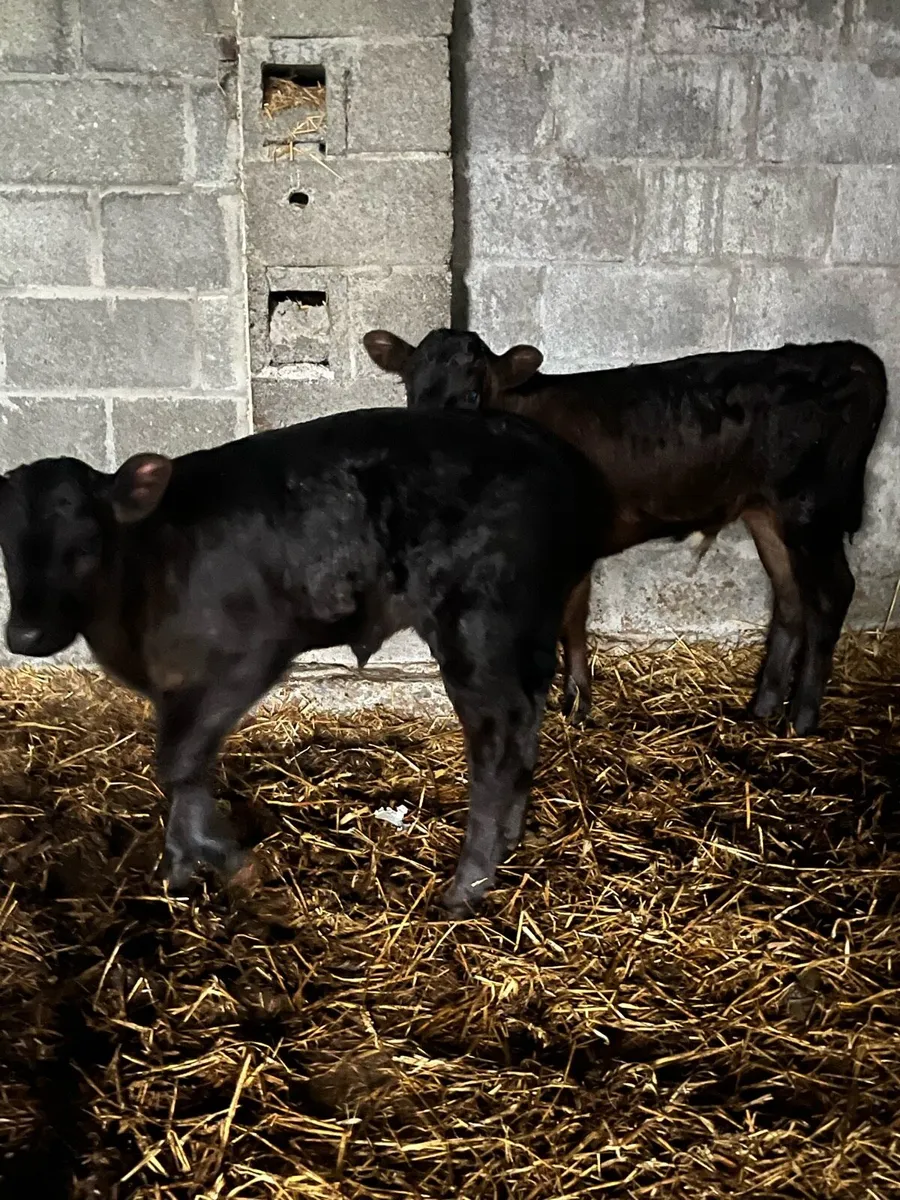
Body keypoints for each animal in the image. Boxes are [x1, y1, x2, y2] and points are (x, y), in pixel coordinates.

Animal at [0, 406, 611, 915]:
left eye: (84, 545)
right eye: (5, 545)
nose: (25, 634)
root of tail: (554, 454)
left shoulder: (243, 658)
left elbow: (177, 760)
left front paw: (221, 859)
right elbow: (183, 768)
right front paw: (181, 868)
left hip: (476, 629)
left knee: (496, 742)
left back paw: (467, 887)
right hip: (527, 631)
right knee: (528, 716)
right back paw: (507, 840)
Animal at [363, 328, 888, 735]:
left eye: (472, 396)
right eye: (412, 390)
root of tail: (849, 355)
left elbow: (570, 618)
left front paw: (576, 701)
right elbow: (572, 620)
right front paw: (575, 700)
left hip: (812, 511)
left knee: (832, 595)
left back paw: (801, 720)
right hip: (767, 511)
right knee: (790, 596)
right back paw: (761, 708)